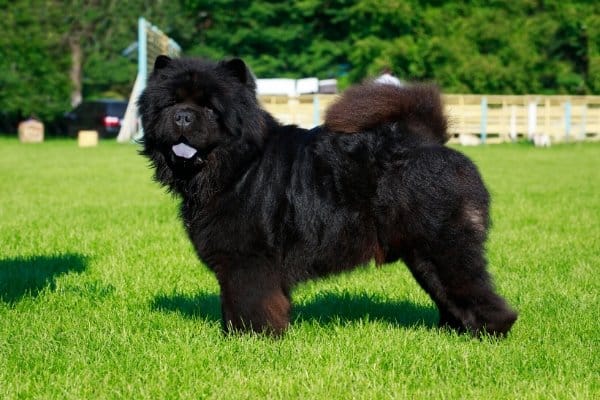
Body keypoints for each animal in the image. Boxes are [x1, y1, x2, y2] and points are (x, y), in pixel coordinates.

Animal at [138, 55, 516, 338]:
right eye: (172, 103)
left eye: (209, 108)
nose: (182, 116)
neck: (236, 167)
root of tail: (427, 141)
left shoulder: (247, 259)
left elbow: (249, 302)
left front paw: (251, 338)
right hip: (422, 254)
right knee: (448, 293)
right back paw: (452, 332)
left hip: (444, 246)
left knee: (473, 289)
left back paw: (489, 332)